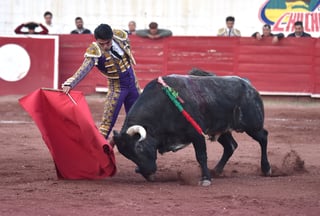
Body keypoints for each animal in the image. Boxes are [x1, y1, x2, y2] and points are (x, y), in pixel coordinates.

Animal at [112, 74, 270, 186]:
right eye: (127, 155)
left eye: (138, 147)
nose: (147, 173)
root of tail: (248, 85)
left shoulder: (196, 134)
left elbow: (201, 156)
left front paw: (205, 179)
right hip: (222, 130)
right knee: (230, 146)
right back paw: (217, 171)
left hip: (253, 125)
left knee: (263, 137)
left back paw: (266, 169)